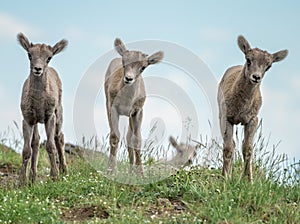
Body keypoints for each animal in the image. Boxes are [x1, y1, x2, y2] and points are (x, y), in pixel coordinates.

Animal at [17, 32, 68, 184]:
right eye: (29, 54)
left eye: (49, 57)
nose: (38, 69)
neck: (39, 102)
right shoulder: (28, 119)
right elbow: (27, 150)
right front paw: (22, 182)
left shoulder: (49, 116)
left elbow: (50, 146)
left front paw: (55, 177)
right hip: (36, 122)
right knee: (36, 141)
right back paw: (33, 177)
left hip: (59, 113)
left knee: (59, 137)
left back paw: (63, 170)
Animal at [103, 38, 164, 175]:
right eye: (124, 62)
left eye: (143, 67)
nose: (129, 78)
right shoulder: (112, 108)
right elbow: (115, 136)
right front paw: (111, 170)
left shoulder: (137, 112)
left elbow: (136, 140)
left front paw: (141, 173)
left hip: (130, 117)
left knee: (129, 137)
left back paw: (131, 171)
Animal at [218, 35, 288, 182]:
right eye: (248, 60)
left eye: (268, 66)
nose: (256, 77)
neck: (240, 107)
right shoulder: (226, 118)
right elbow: (228, 148)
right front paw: (225, 179)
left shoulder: (252, 120)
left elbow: (247, 148)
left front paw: (248, 180)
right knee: (232, 144)